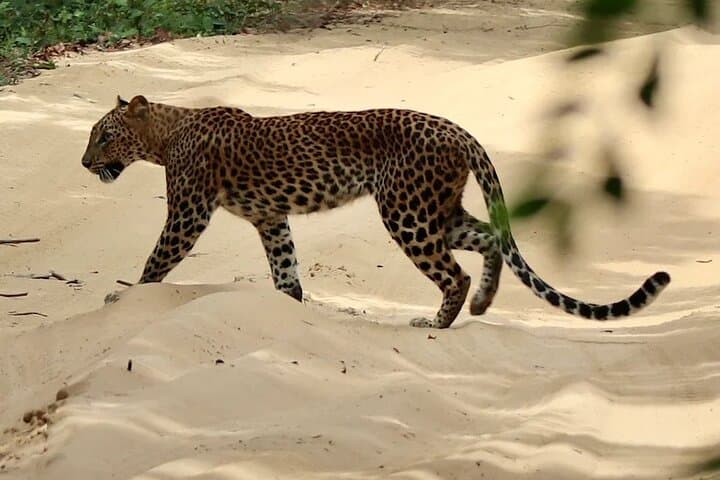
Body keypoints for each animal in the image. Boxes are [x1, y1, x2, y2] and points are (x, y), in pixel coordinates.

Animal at [80, 95, 670, 328]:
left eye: (104, 135)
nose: (85, 162)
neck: (167, 134)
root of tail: (457, 129)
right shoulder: (271, 219)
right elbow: (285, 266)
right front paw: (289, 307)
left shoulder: (188, 213)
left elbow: (157, 261)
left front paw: (123, 298)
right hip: (437, 210)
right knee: (489, 238)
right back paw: (481, 304)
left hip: (407, 212)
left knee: (453, 271)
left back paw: (436, 322)